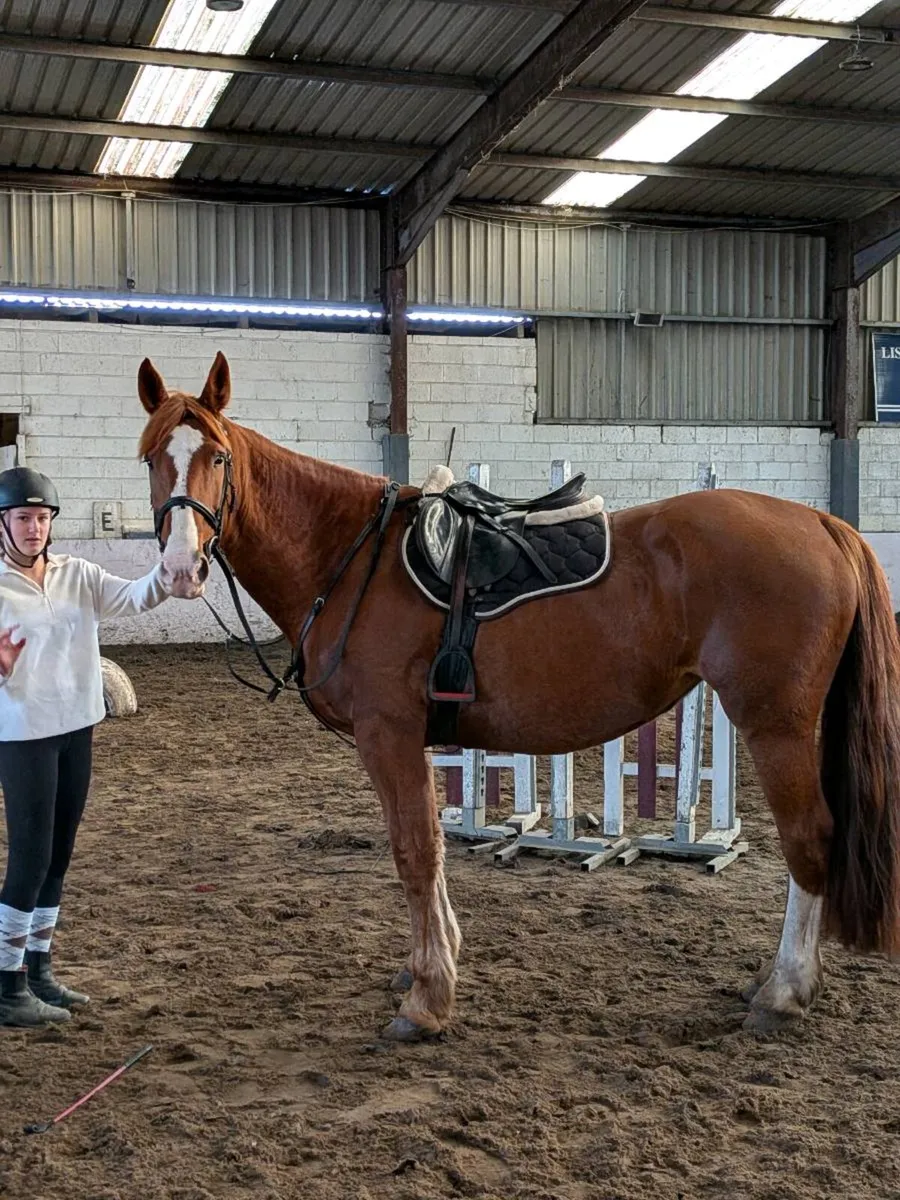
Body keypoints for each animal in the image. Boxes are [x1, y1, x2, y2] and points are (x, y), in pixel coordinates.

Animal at [136, 350, 900, 1042]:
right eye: (150, 459)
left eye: (218, 457)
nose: (179, 569)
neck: (354, 560)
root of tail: (823, 525)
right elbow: (434, 847)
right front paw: (434, 962)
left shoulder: (388, 734)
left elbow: (415, 851)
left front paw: (428, 998)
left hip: (774, 726)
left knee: (810, 842)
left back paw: (784, 991)